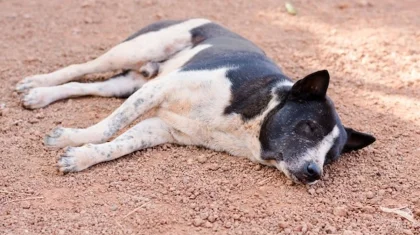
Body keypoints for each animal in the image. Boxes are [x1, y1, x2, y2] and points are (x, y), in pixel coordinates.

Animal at [15, 18, 374, 184]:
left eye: (331, 158)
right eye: (309, 126)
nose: (315, 172)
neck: (250, 119)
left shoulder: (157, 127)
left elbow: (117, 145)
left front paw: (82, 157)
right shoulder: (158, 91)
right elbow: (107, 128)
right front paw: (73, 138)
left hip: (129, 84)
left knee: (88, 85)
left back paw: (43, 94)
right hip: (137, 51)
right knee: (82, 68)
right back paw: (37, 84)